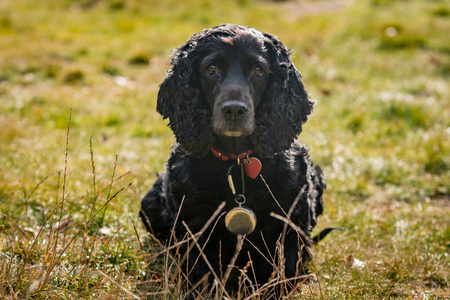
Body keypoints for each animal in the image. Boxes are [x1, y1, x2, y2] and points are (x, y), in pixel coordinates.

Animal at [141, 23, 326, 298]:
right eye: (211, 69)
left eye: (258, 70)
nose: (234, 110)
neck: (237, 162)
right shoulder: (194, 228)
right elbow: (202, 277)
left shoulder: (290, 226)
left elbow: (279, 275)